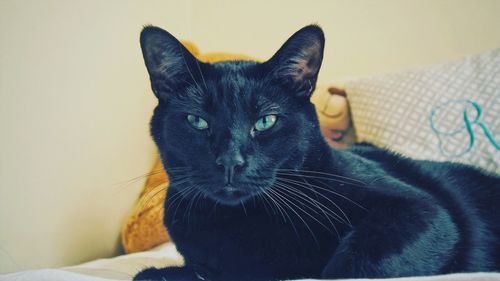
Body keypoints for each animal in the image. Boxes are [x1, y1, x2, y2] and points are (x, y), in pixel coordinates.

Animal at [134, 25, 500, 278]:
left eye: (265, 121)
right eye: (197, 121)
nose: (230, 162)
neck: (245, 220)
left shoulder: (422, 210)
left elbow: (354, 267)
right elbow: (158, 274)